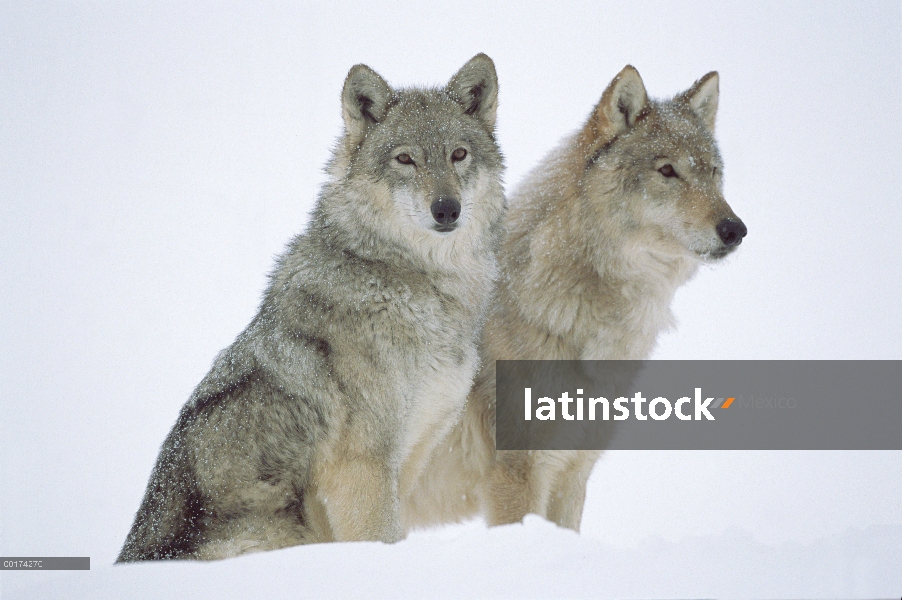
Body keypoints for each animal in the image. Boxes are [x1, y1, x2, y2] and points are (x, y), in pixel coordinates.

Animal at [116, 52, 504, 564]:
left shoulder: (409, 456)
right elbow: (379, 536)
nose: (446, 209)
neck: (410, 283)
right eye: (405, 159)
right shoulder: (363, 465)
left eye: (458, 155)